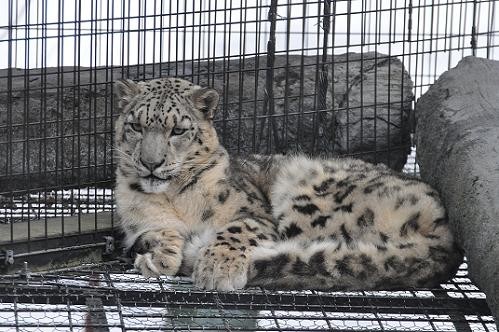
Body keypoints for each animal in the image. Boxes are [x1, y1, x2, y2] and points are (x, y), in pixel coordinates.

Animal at [114, 77, 464, 290]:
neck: (173, 198)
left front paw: (217, 268)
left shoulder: (254, 214)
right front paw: (160, 253)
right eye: (135, 126)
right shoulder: (139, 222)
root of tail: (447, 233)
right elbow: (154, 231)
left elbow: (236, 230)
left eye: (177, 130)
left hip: (308, 196)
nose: (151, 162)